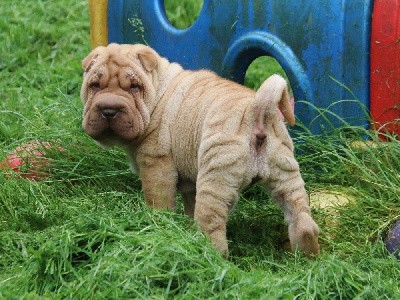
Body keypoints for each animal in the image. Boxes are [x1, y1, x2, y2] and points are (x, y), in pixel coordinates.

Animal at [79, 43, 320, 256]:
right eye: (95, 85)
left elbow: (159, 202)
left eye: (134, 87)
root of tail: (257, 109)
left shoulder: (156, 166)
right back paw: (306, 259)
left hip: (216, 177)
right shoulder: (190, 183)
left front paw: (157, 226)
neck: (158, 91)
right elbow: (189, 207)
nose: (109, 110)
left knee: (212, 228)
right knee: (301, 218)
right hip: (285, 173)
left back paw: (206, 256)